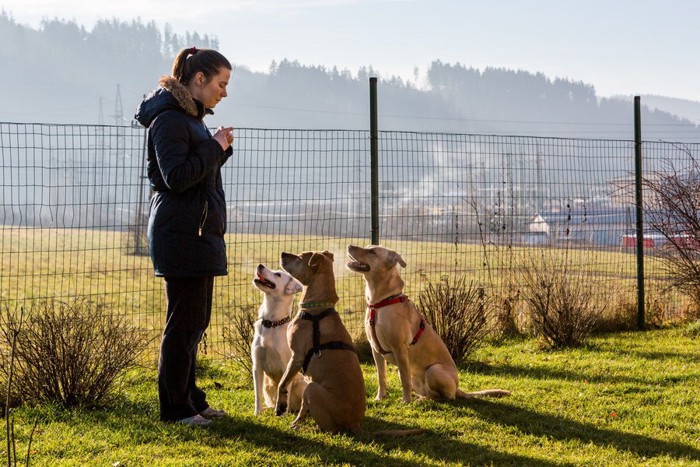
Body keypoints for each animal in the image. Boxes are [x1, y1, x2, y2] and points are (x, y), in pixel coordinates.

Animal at [252, 266, 306, 414]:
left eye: (278, 274)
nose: (259, 265)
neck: (271, 323)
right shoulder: (257, 366)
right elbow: (257, 393)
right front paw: (257, 413)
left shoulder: (285, 365)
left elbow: (284, 390)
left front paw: (283, 414)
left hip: (301, 382)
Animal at [274, 252, 366, 436]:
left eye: (300, 257)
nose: (282, 254)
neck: (317, 308)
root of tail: (355, 423)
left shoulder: (296, 357)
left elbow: (282, 383)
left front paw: (280, 406)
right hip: (310, 388)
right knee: (305, 406)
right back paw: (299, 423)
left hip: (312, 388)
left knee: (330, 429)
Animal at [348, 247, 512, 404]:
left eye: (372, 251)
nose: (349, 246)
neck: (380, 303)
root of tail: (457, 388)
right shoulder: (376, 350)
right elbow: (381, 377)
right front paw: (380, 398)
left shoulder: (400, 349)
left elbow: (404, 380)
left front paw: (406, 401)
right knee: (431, 394)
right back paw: (420, 398)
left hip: (434, 370)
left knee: (445, 398)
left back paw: (421, 400)